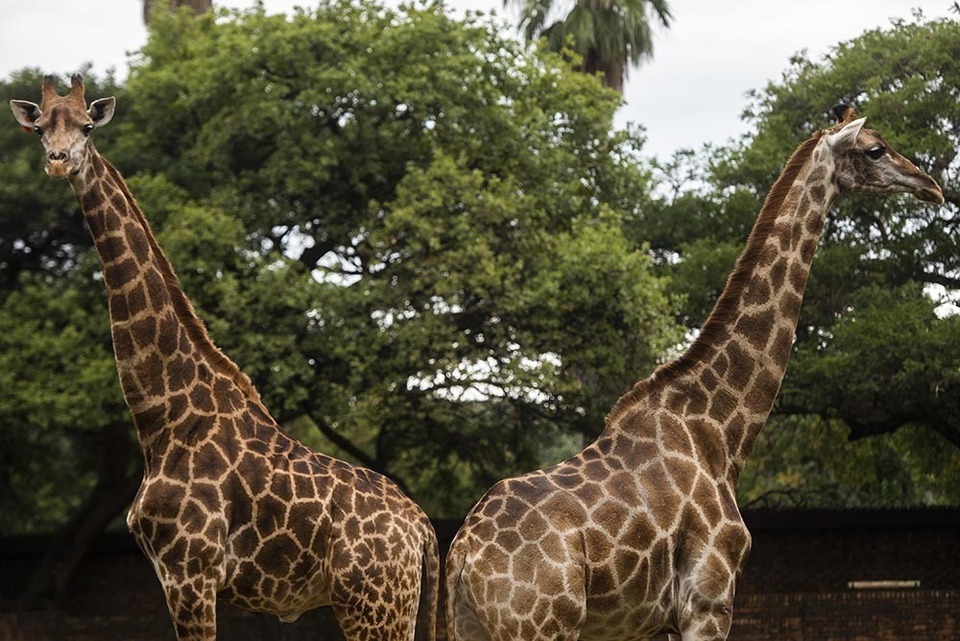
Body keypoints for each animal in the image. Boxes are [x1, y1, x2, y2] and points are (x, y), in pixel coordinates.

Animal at [11, 74, 440, 636]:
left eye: (86, 126)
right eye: (40, 127)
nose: (59, 161)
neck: (162, 416)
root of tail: (423, 529)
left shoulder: (189, 573)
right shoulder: (177, 576)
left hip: (373, 606)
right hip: (394, 608)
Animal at [444, 105, 944, 640]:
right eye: (876, 149)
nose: (931, 185)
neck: (719, 431)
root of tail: (462, 554)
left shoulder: (660, 619)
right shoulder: (708, 600)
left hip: (471, 626)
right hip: (544, 624)